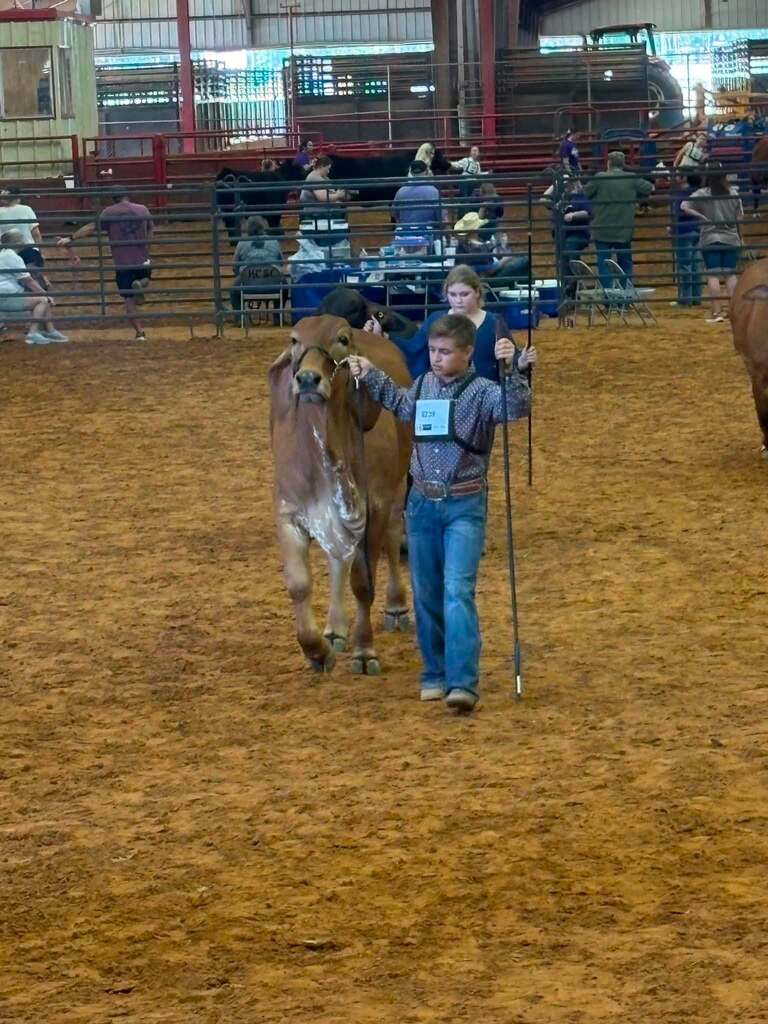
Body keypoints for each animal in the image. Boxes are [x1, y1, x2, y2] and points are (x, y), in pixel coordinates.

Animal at [269, 314, 412, 673]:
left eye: (342, 339)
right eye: (294, 340)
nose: (307, 379)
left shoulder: (372, 509)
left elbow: (362, 584)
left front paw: (364, 650)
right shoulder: (290, 514)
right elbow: (299, 584)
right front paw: (317, 650)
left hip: (397, 490)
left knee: (393, 541)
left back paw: (396, 606)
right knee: (338, 561)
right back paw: (335, 629)